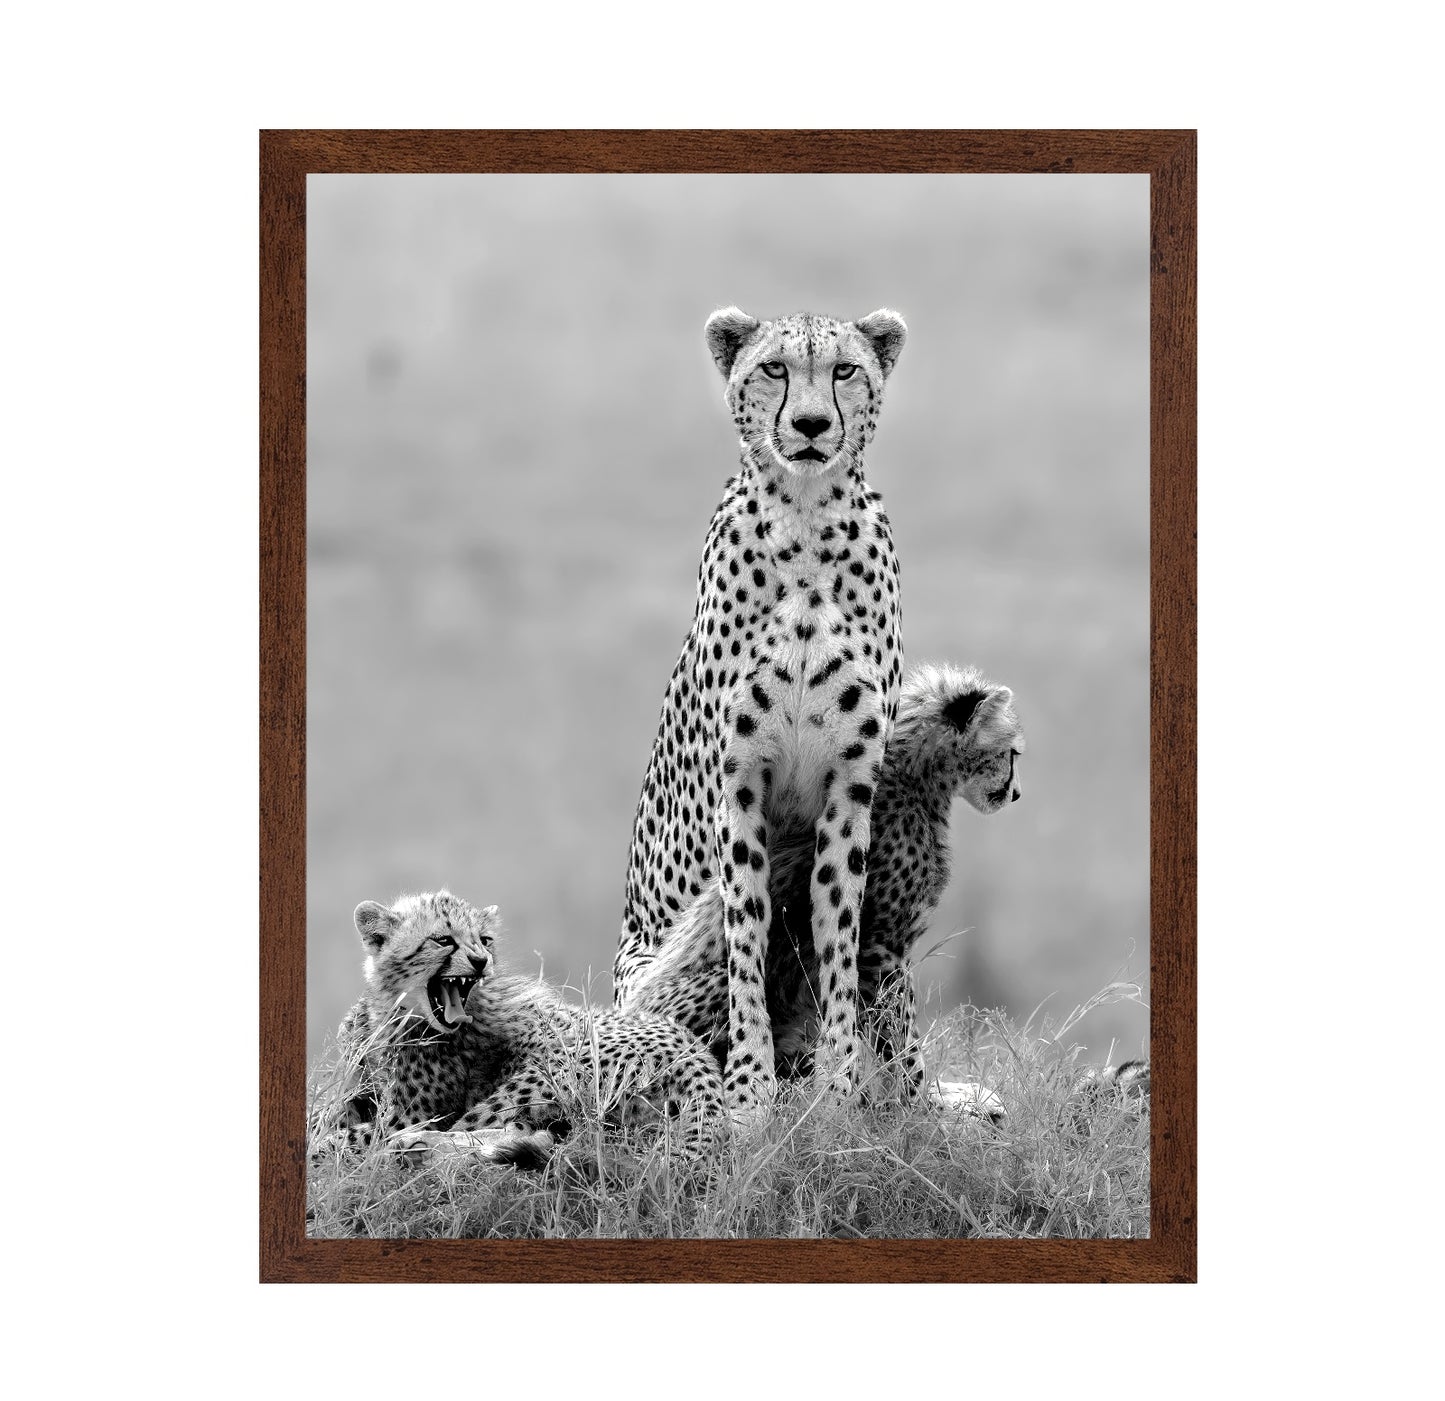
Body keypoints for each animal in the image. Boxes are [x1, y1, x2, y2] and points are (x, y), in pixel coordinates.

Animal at [310, 890, 724, 1168]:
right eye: (443, 940)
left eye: (485, 940)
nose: (481, 961)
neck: (393, 1012)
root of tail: (695, 1052)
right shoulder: (359, 1092)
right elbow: (325, 1114)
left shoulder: (407, 1115)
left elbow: (349, 1136)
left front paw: (323, 1148)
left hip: (541, 1073)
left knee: (493, 1127)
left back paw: (420, 1148)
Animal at [615, 306, 910, 1113]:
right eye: (774, 368)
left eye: (844, 370)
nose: (809, 425)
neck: (806, 527)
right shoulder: (739, 785)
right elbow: (744, 937)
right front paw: (749, 1091)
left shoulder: (850, 788)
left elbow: (837, 931)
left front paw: (837, 1088)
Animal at [623, 661, 1025, 1110]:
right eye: (1012, 753)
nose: (1016, 793)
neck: (915, 779)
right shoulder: (880, 951)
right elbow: (901, 1040)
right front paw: (923, 1106)